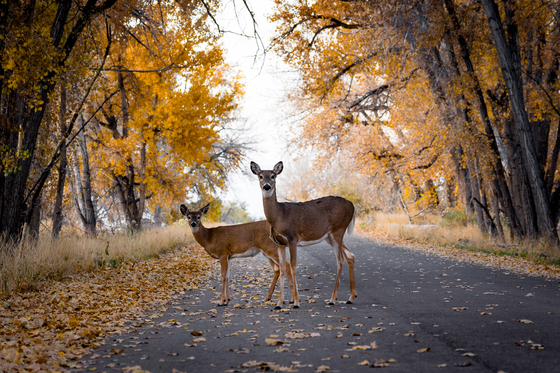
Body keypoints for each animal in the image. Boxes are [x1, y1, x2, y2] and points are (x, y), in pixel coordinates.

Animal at [252, 160, 356, 306]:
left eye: (273, 176)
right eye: (260, 176)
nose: (267, 186)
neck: (279, 215)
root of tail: (353, 205)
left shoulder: (292, 238)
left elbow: (293, 266)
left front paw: (296, 302)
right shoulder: (279, 243)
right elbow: (283, 268)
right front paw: (279, 303)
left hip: (338, 230)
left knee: (340, 260)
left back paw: (332, 299)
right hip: (329, 236)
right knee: (350, 255)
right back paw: (351, 297)